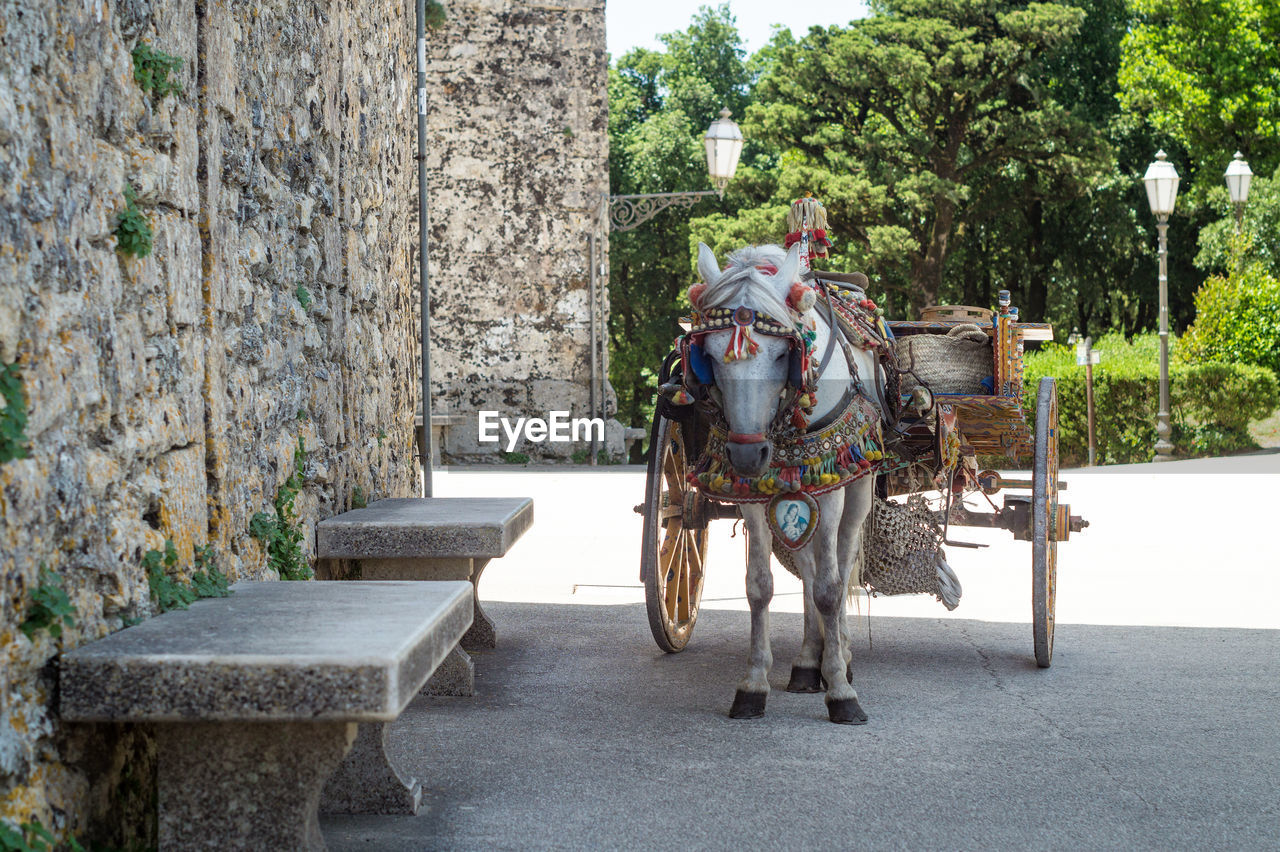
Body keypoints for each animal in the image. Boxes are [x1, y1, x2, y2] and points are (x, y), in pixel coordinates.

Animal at [691, 240, 880, 721]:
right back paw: (809, 661)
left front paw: (841, 691)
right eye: (710, 356)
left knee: (842, 560)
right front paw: (754, 683)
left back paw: (840, 655)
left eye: (781, 355)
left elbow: (832, 588)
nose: (746, 454)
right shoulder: (754, 495)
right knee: (809, 569)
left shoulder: (829, 489)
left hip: (857, 487)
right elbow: (759, 586)